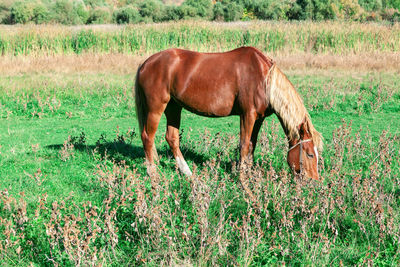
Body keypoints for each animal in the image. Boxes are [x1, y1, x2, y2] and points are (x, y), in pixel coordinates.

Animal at [134, 47, 322, 182]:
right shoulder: (247, 115)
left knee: (172, 138)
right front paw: (242, 176)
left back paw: (186, 172)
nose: (313, 181)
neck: (264, 79)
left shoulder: (258, 119)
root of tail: (146, 63)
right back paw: (153, 173)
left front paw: (249, 173)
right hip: (156, 108)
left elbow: (252, 146)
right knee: (147, 137)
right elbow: (244, 145)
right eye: (309, 154)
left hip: (173, 107)